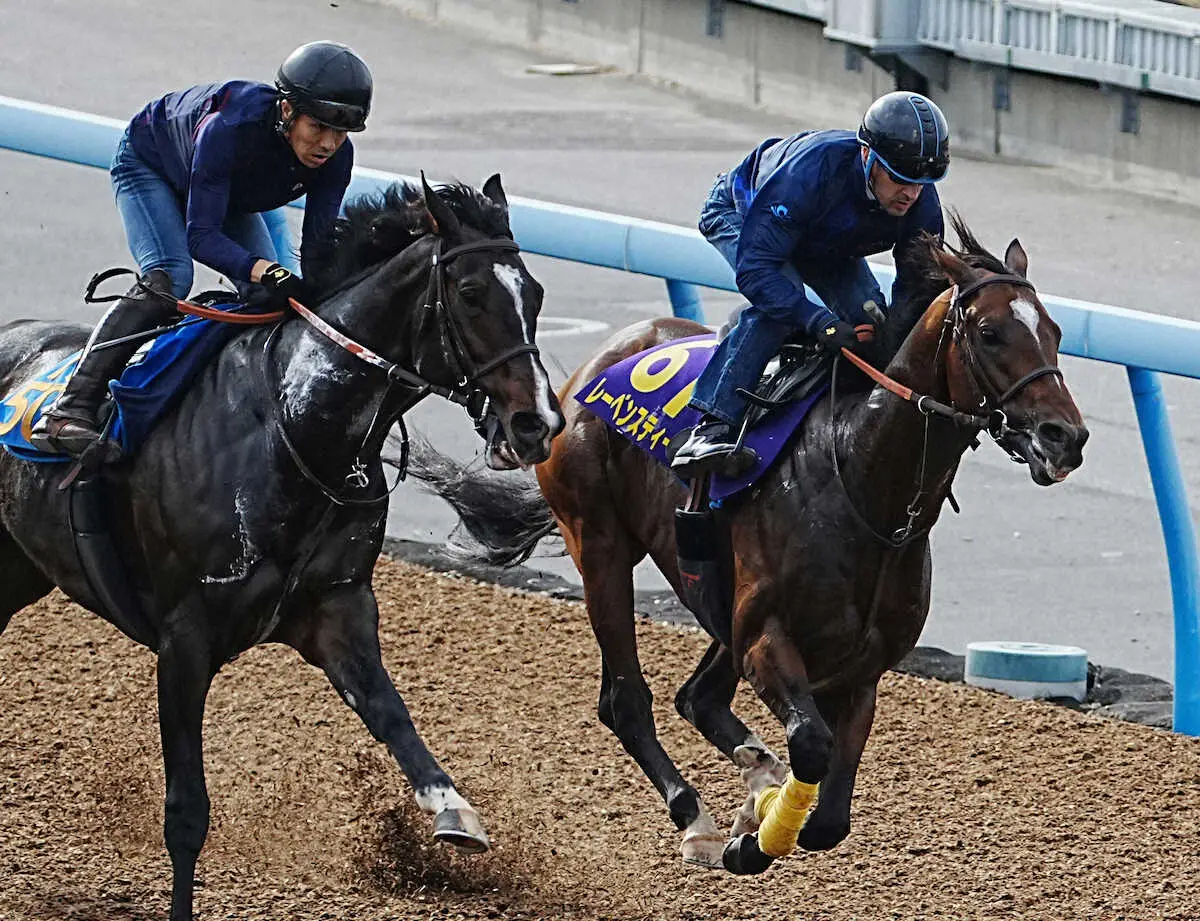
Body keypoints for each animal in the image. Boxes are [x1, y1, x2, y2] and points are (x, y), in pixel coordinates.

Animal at [0, 175, 561, 921]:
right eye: (470, 292)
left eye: (536, 293)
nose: (536, 424)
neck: (296, 424)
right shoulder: (185, 637)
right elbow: (187, 811)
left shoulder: (337, 607)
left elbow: (392, 714)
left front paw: (454, 812)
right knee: (159, 280)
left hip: (19, 568)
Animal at [410, 215, 1089, 873]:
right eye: (990, 333)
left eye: (1055, 330)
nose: (1065, 436)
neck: (860, 479)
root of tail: (589, 367)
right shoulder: (767, 637)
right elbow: (809, 748)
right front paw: (752, 839)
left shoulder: (859, 672)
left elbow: (830, 820)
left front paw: (763, 811)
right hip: (599, 544)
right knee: (626, 699)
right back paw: (701, 822)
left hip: (715, 600)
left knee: (698, 698)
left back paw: (751, 782)